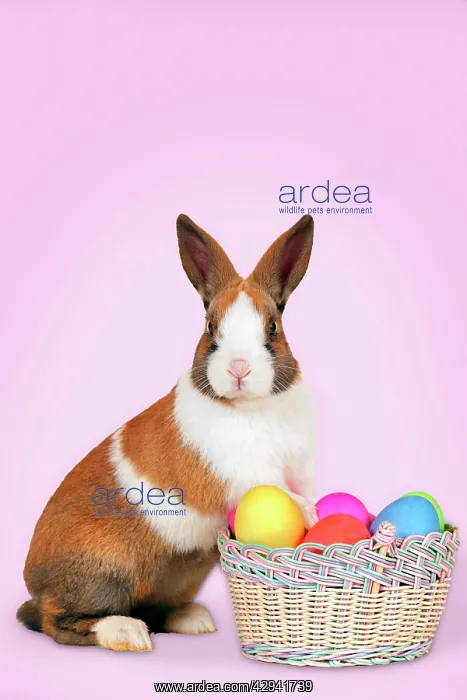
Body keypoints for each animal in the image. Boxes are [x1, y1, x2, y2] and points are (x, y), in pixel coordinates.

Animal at [17, 213, 317, 652]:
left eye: (273, 328)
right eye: (210, 327)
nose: (239, 368)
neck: (248, 405)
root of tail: (33, 585)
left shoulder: (299, 467)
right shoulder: (241, 475)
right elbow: (273, 489)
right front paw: (311, 513)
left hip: (180, 576)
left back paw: (195, 621)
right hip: (103, 579)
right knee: (57, 622)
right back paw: (127, 633)